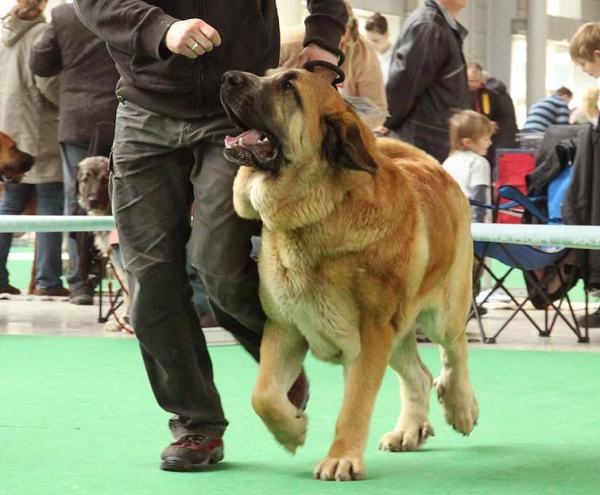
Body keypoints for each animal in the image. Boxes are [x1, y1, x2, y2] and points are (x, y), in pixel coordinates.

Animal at [220, 69, 478, 480]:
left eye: (289, 86)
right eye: (269, 74)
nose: (228, 76)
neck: (322, 210)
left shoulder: (370, 335)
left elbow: (354, 405)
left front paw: (341, 457)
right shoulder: (285, 328)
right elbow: (263, 396)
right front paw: (293, 430)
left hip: (441, 312)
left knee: (455, 351)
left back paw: (461, 407)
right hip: (398, 331)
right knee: (418, 374)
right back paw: (409, 430)